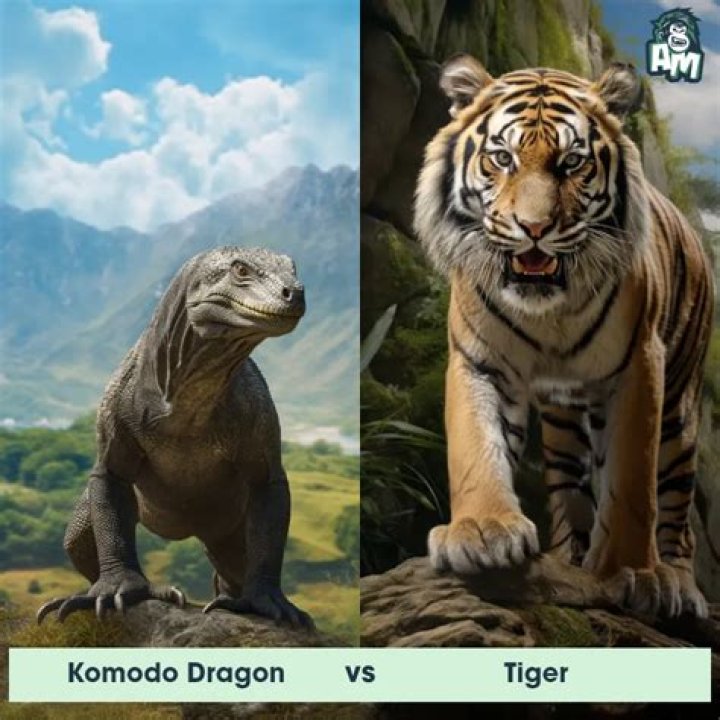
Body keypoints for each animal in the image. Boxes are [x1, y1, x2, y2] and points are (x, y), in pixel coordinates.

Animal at [414, 55, 714, 618]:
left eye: (572, 163)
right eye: (503, 158)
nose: (533, 228)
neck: (546, 310)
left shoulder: (639, 366)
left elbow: (633, 481)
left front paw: (632, 572)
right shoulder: (480, 361)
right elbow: (475, 446)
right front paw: (481, 532)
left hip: (680, 414)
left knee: (677, 510)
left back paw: (679, 584)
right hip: (563, 424)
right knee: (571, 491)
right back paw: (570, 558)